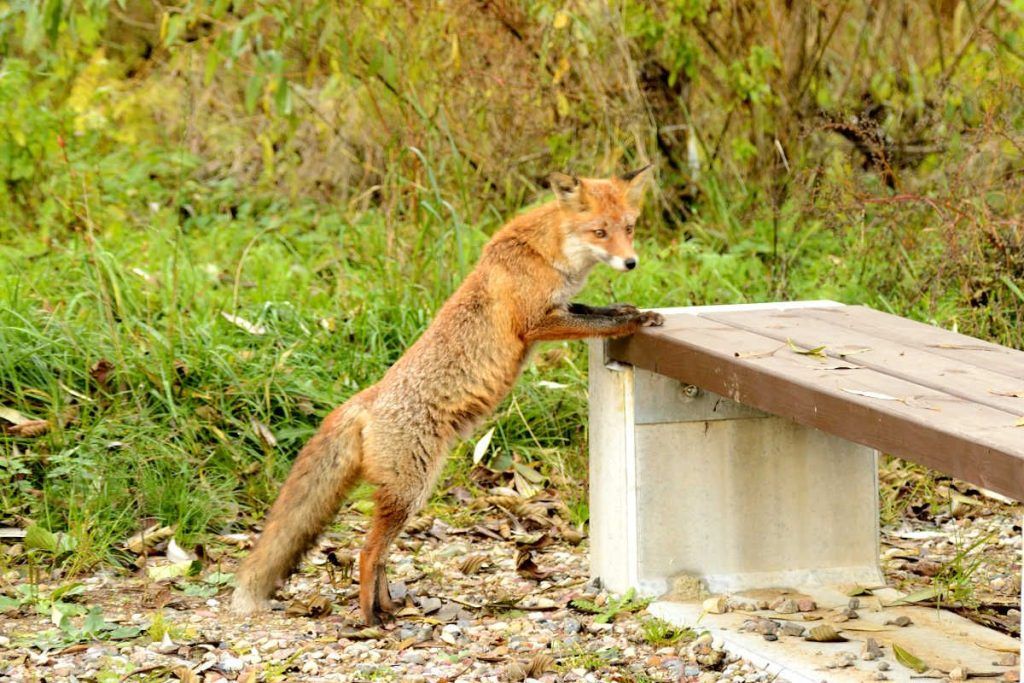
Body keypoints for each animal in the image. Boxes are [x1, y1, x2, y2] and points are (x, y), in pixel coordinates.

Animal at [231, 167, 664, 625]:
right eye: (599, 232)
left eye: (629, 228)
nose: (631, 262)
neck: (546, 253)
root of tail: (366, 400)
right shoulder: (536, 323)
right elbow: (604, 323)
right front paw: (636, 321)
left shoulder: (565, 306)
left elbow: (602, 311)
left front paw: (633, 310)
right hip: (410, 490)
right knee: (367, 553)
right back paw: (371, 620)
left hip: (411, 493)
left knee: (380, 556)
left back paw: (389, 606)